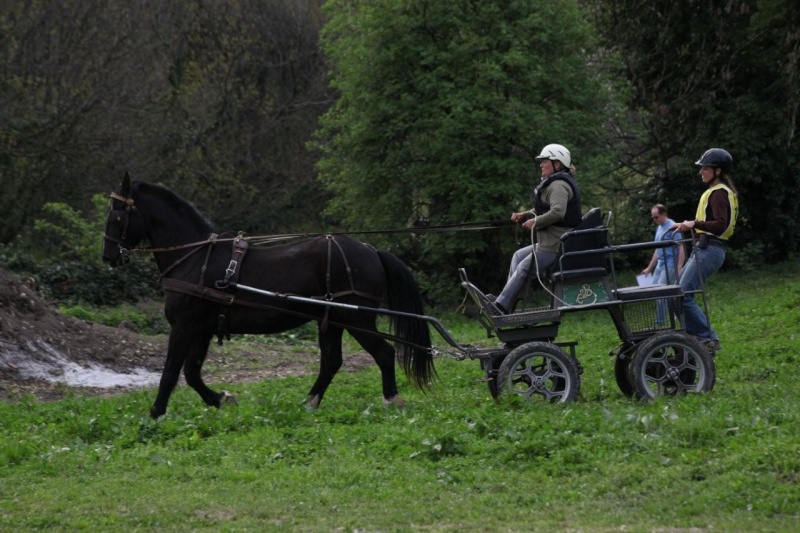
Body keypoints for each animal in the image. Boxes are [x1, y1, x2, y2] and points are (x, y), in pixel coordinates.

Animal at [104, 172, 438, 418]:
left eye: (117, 217)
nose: (108, 257)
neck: (196, 257)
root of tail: (371, 251)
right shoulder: (202, 328)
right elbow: (192, 372)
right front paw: (222, 399)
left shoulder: (185, 326)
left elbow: (172, 371)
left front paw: (156, 414)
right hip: (330, 320)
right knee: (332, 361)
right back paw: (309, 403)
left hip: (356, 318)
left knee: (384, 353)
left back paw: (391, 400)